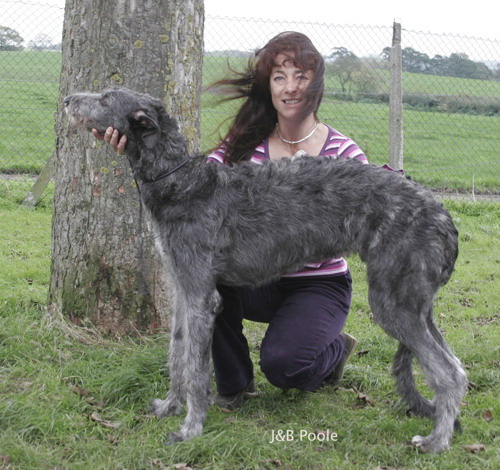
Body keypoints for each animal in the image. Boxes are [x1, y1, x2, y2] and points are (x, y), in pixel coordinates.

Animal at [63, 87, 468, 452]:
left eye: (105, 98)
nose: (67, 99)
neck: (184, 184)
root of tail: (444, 217)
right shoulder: (183, 288)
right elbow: (177, 352)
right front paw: (169, 406)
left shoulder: (201, 296)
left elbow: (195, 368)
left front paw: (191, 428)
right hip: (415, 304)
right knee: (457, 368)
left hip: (393, 302)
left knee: (448, 374)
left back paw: (436, 441)